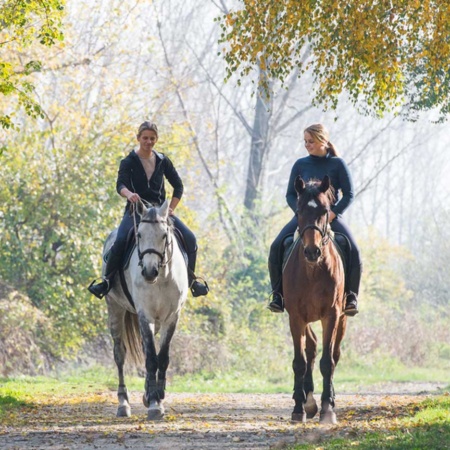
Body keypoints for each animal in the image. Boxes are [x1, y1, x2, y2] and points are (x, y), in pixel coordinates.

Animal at [103, 200, 188, 418]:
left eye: (164, 235)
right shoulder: (145, 315)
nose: (149, 272)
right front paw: (154, 404)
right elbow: (151, 358)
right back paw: (123, 404)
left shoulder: (171, 317)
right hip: (114, 308)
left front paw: (157, 395)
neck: (162, 278)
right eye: (139, 234)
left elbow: (162, 357)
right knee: (119, 354)